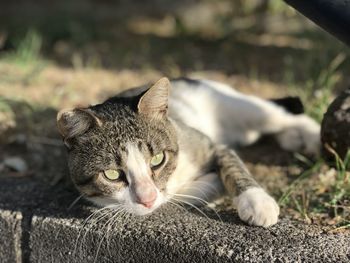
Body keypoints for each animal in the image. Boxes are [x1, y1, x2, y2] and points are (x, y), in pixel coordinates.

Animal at [56, 77, 320, 228]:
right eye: (111, 174)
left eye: (157, 159)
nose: (147, 198)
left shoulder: (211, 145)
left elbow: (232, 165)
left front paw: (256, 201)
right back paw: (292, 138)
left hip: (240, 106)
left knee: (282, 116)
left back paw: (311, 135)